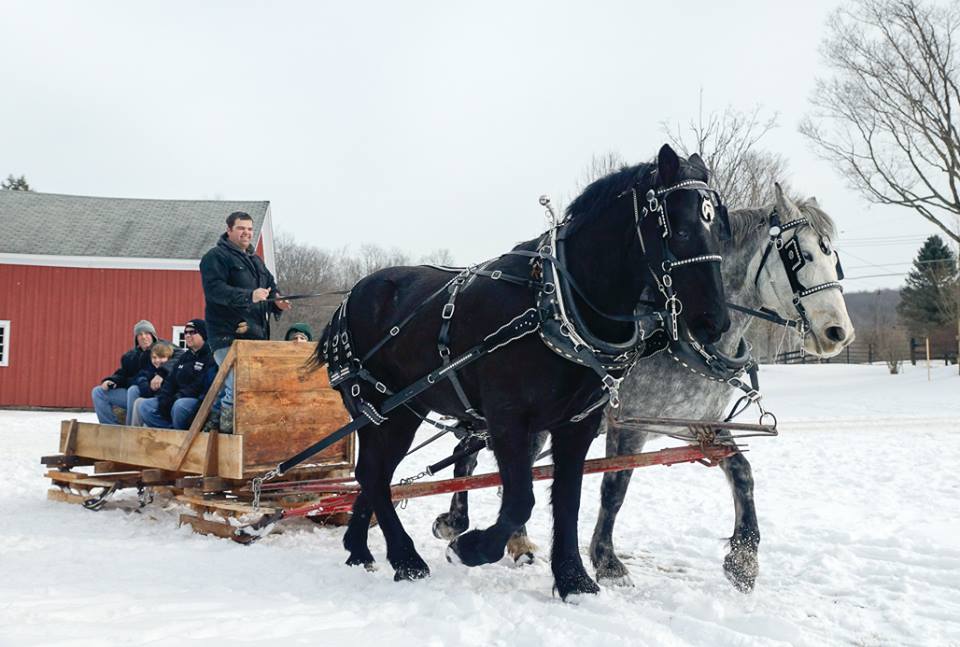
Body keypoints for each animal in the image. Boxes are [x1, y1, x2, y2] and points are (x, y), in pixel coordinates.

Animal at [312, 144, 732, 600]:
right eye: (680, 229)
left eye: (718, 227)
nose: (715, 322)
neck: (553, 304)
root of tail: (350, 297)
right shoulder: (507, 417)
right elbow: (519, 500)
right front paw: (470, 547)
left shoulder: (577, 424)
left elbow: (567, 499)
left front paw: (573, 579)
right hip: (386, 408)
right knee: (375, 474)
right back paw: (406, 560)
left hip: (396, 411)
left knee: (372, 473)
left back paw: (360, 549)